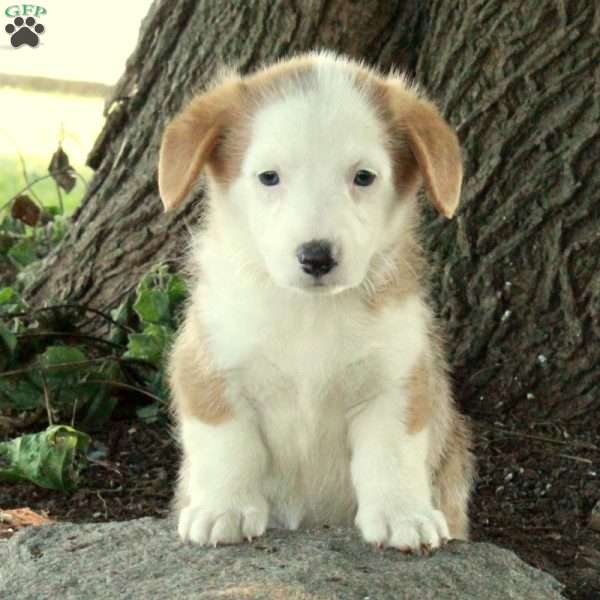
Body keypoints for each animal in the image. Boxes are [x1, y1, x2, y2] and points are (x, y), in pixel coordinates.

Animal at [158, 51, 474, 552]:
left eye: (363, 177)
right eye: (269, 177)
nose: (316, 257)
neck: (309, 312)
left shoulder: (396, 382)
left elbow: (391, 455)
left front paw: (402, 515)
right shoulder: (208, 369)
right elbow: (228, 445)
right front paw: (223, 509)